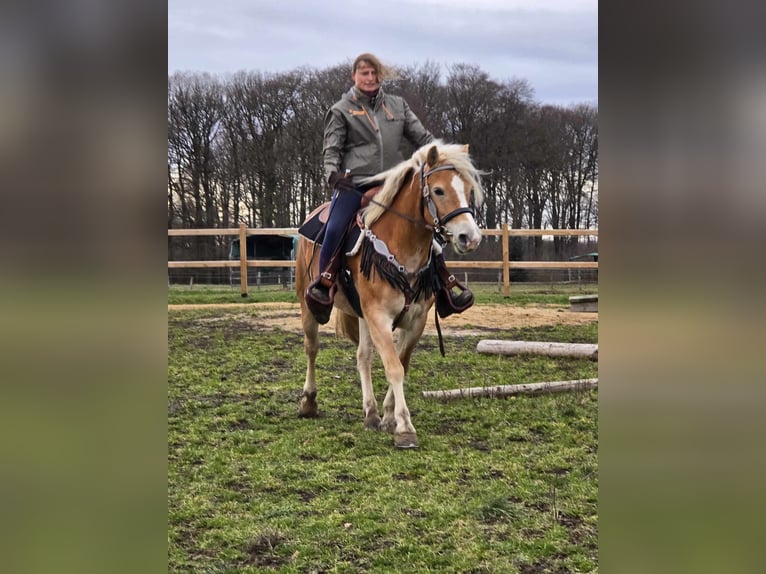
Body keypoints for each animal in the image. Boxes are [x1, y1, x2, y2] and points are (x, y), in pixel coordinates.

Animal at [296, 142, 486, 448]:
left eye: (468, 190)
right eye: (438, 190)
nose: (470, 238)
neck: (402, 247)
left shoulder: (415, 320)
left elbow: (401, 364)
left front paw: (387, 416)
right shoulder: (379, 317)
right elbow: (393, 367)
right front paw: (405, 427)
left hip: (361, 315)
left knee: (363, 357)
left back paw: (370, 413)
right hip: (308, 304)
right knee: (312, 348)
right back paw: (308, 402)